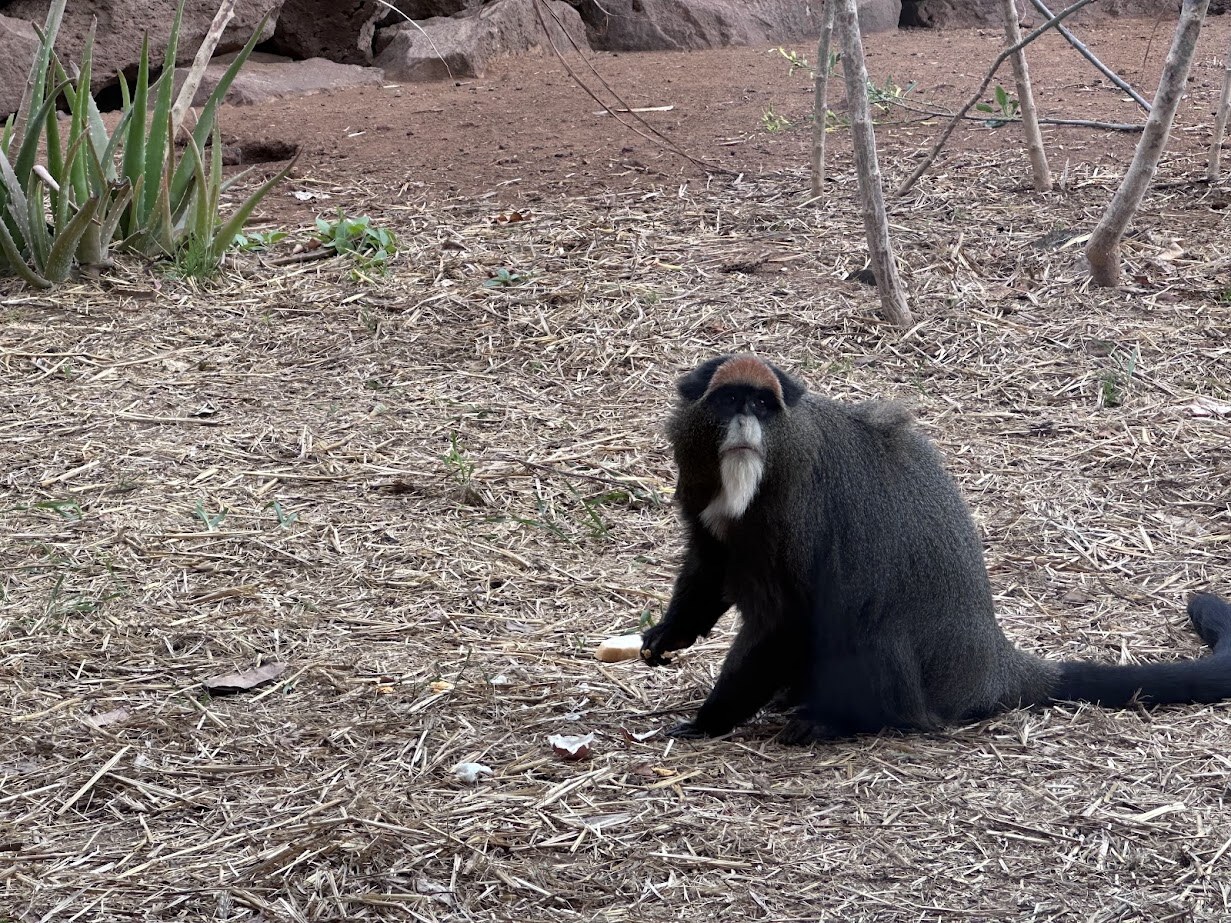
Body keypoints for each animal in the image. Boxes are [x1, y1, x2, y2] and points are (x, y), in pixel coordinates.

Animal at [640, 353, 1231, 744]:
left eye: (763, 405)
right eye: (729, 400)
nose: (745, 421)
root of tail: (992, 665)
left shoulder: (792, 521)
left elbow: (784, 621)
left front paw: (706, 720)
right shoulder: (702, 503)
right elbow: (709, 566)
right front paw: (668, 634)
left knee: (863, 618)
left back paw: (832, 721)